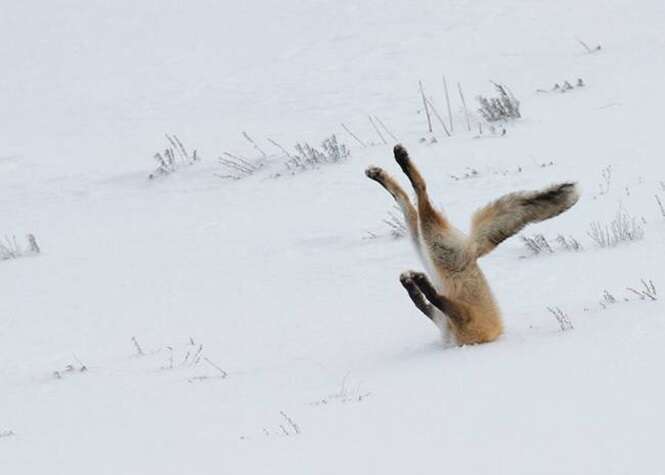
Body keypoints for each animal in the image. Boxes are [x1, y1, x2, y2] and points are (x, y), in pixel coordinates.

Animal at [366, 145, 580, 346]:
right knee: (407, 200)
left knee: (420, 193)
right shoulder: (448, 317)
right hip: (426, 245)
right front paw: (412, 283)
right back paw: (381, 172)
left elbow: (432, 299)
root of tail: (473, 250)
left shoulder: (462, 318)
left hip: (432, 243)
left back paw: (399, 161)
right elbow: (423, 301)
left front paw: (418, 283)